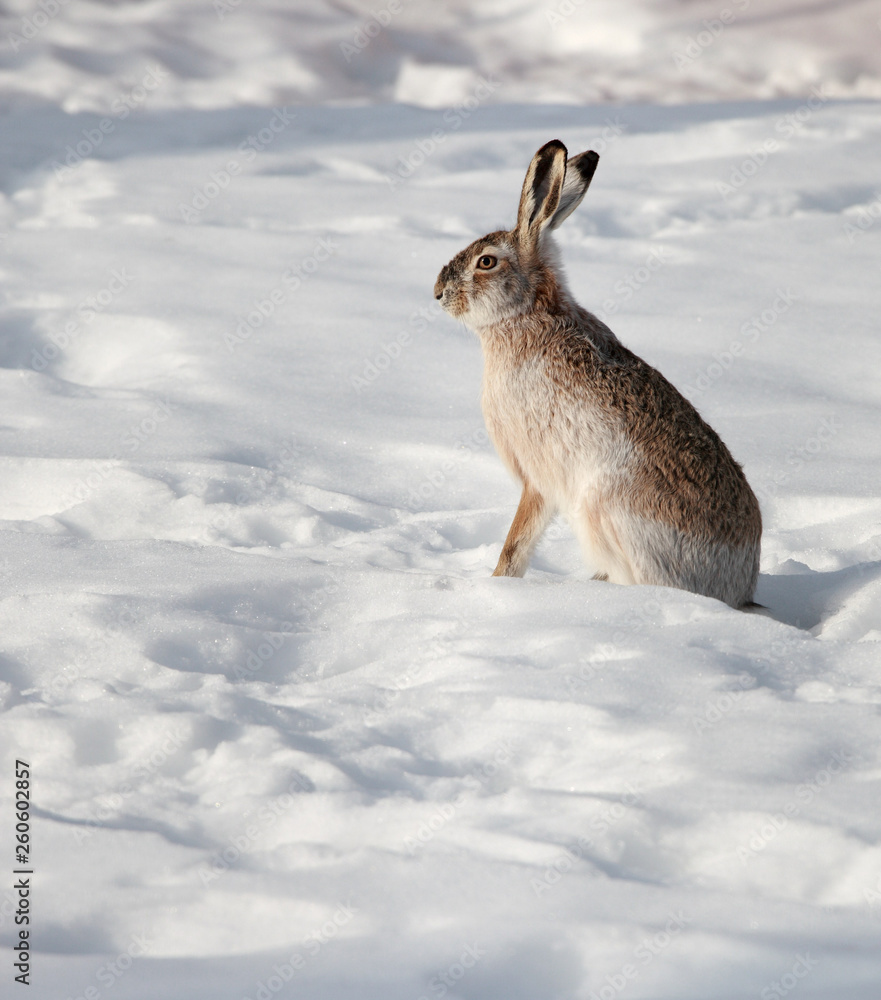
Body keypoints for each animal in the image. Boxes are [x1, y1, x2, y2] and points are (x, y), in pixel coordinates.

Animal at [433, 139, 762, 609]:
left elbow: (517, 543)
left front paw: (497, 583)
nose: (438, 293)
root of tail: (737, 588)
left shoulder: (538, 476)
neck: (525, 316)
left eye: (486, 262)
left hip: (606, 511)